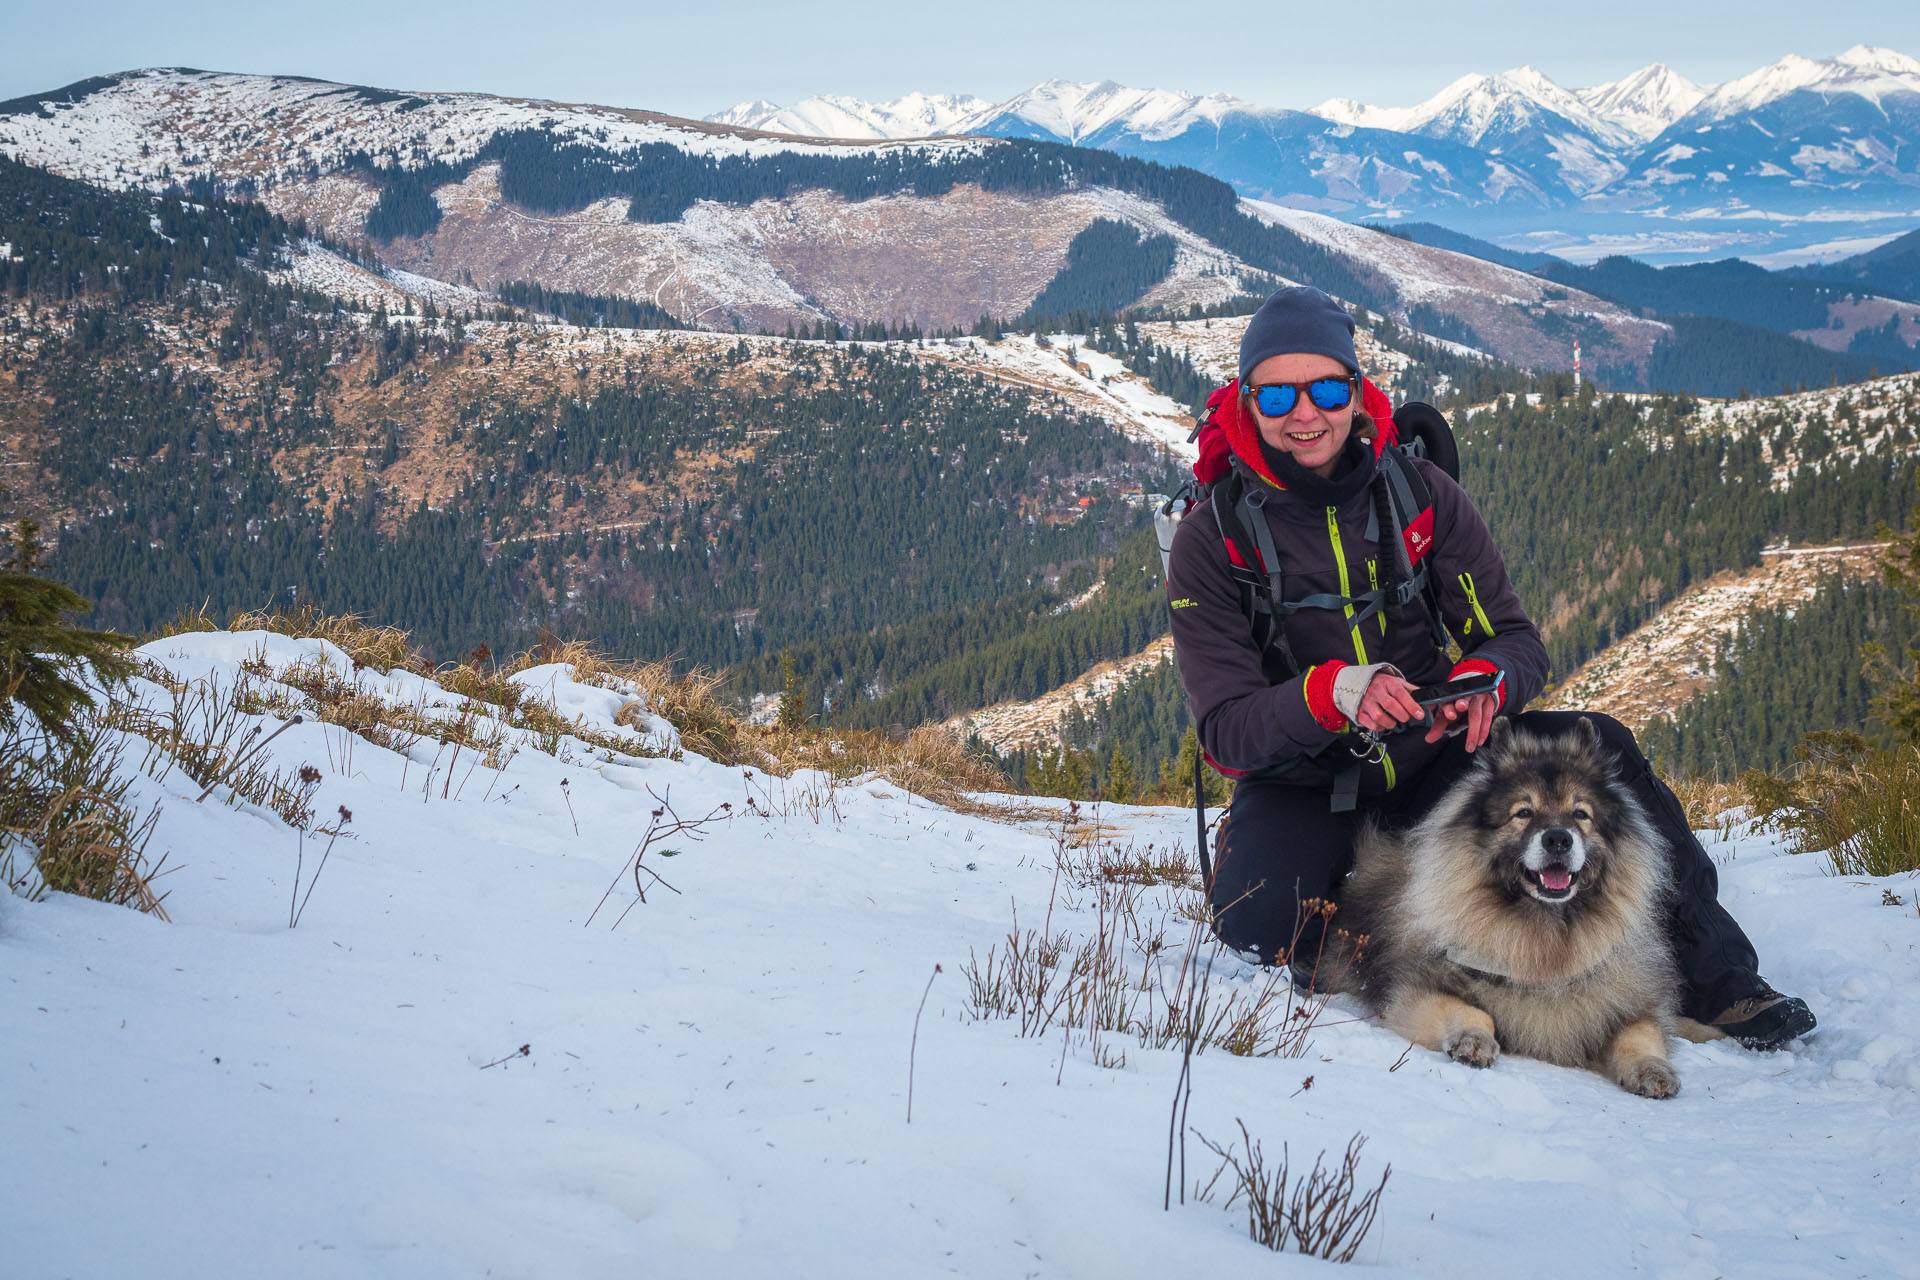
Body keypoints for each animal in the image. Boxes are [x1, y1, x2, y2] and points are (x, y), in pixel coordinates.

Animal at [1336, 717, 1681, 1097]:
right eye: (1523, 813)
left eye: (1581, 814)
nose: (1558, 838)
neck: (1545, 936)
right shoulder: (1418, 988)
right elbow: (1472, 1011)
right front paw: (1473, 1040)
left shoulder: (1630, 1002)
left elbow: (1641, 1034)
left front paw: (1653, 1071)